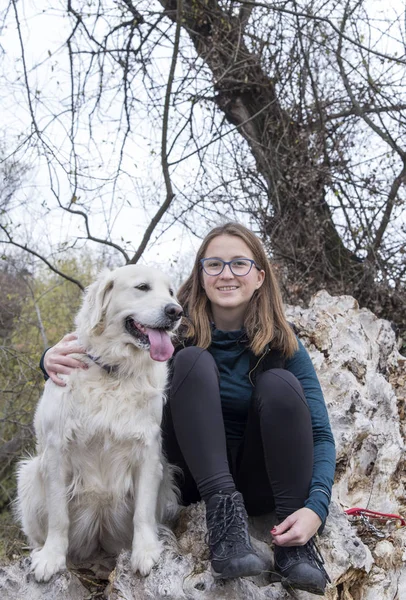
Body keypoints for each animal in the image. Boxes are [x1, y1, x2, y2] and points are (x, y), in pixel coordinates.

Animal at [16, 264, 182, 580]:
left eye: (171, 292)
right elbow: (58, 515)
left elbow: (143, 511)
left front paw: (145, 551)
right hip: (29, 473)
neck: (112, 370)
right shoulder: (56, 451)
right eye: (142, 287)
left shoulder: (149, 451)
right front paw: (51, 557)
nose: (176, 311)